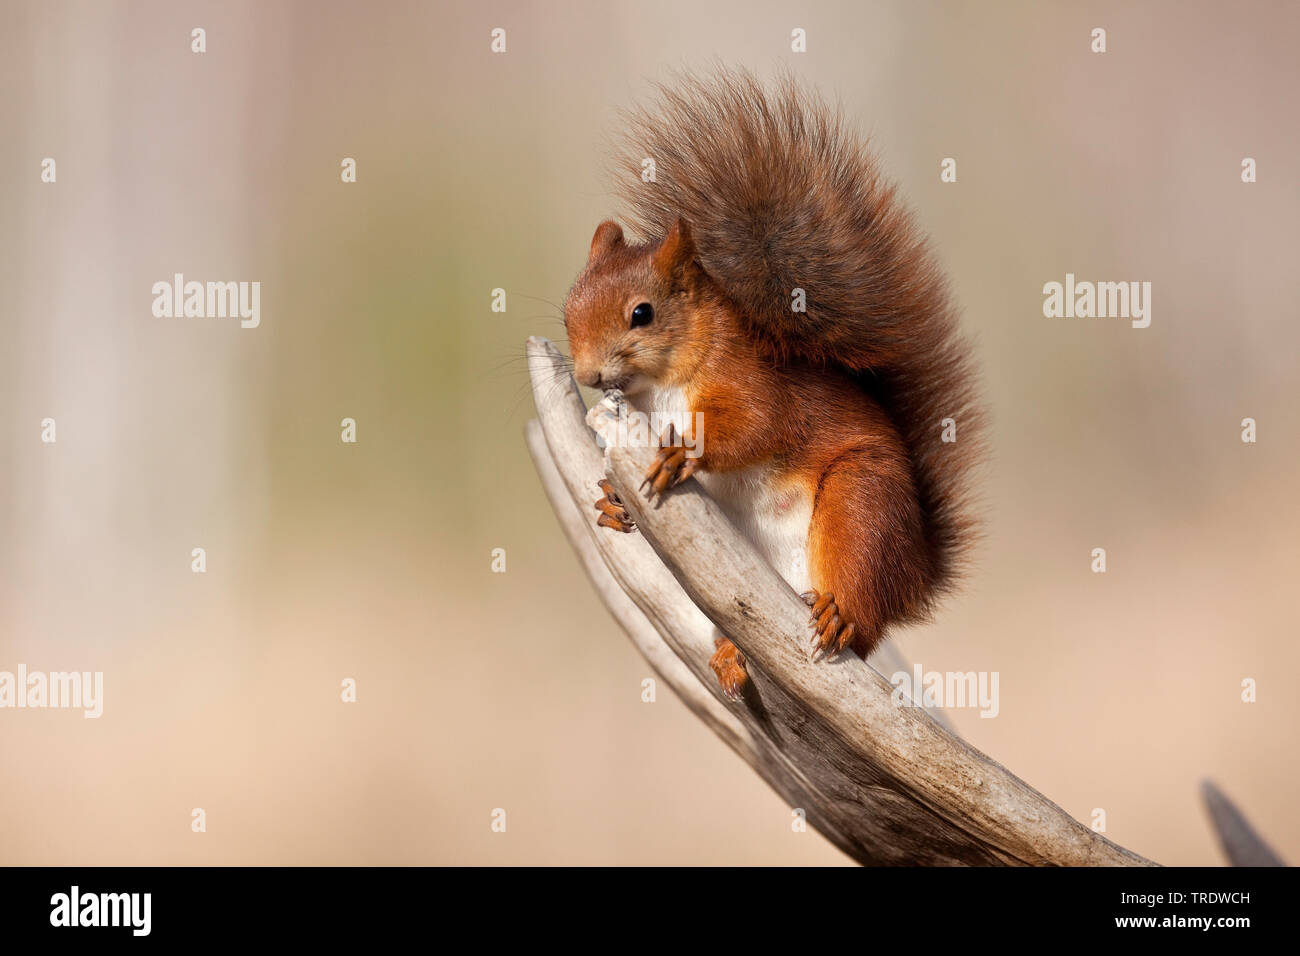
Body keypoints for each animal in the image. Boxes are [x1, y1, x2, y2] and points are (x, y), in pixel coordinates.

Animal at [564, 65, 977, 697]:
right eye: (568, 309)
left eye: (642, 313)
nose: (587, 373)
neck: (657, 392)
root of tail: (916, 577)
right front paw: (612, 501)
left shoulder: (753, 380)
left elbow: (759, 424)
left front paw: (683, 452)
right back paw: (731, 658)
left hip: (863, 508)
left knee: (861, 621)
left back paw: (836, 615)